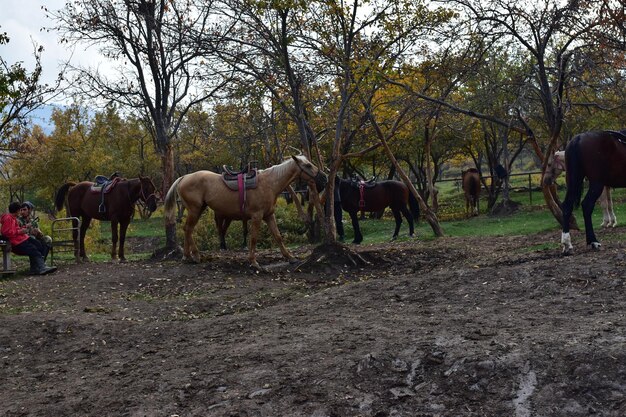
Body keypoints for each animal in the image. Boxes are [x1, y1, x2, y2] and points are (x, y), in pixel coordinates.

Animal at [161, 154, 326, 268]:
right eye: (308, 165)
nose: (324, 178)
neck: (269, 183)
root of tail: (183, 177)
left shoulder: (269, 215)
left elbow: (278, 236)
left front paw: (290, 257)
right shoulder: (257, 216)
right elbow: (253, 238)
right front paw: (253, 261)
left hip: (198, 209)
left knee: (187, 229)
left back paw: (187, 256)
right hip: (195, 210)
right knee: (188, 229)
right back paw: (195, 256)